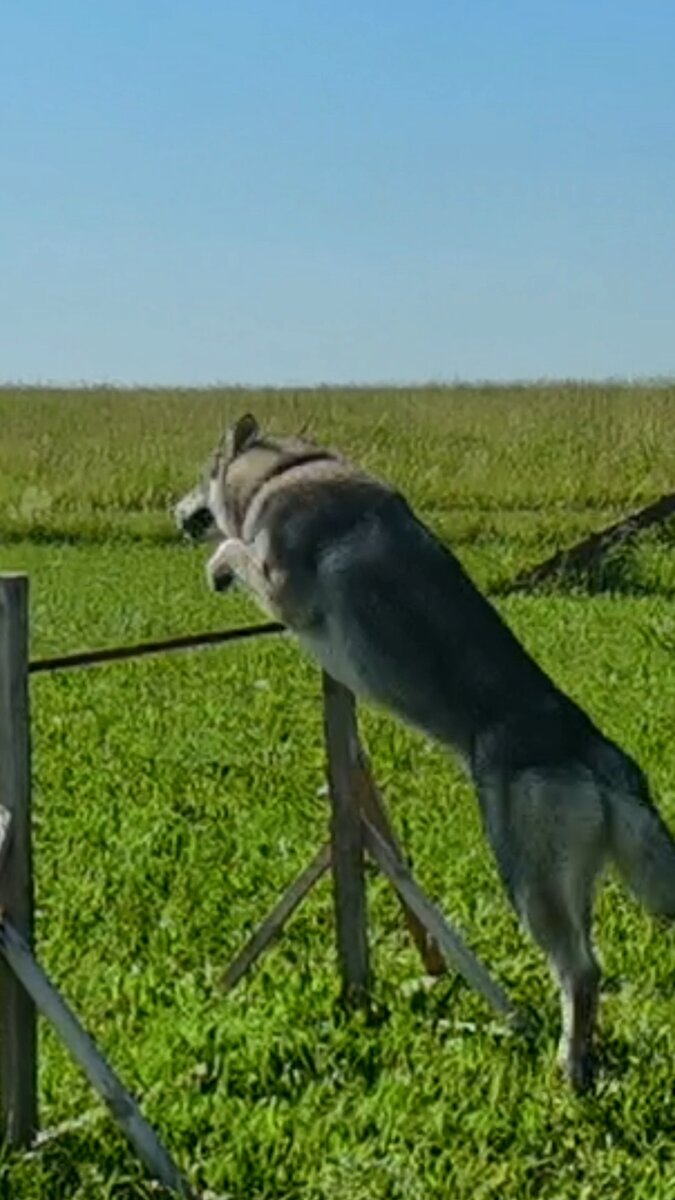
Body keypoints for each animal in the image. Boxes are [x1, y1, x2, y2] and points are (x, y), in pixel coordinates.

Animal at [174, 417, 672, 1094]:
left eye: (201, 475)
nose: (175, 511)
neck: (282, 473)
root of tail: (595, 752)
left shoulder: (280, 585)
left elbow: (229, 549)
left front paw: (217, 569)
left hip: (528, 882)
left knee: (582, 971)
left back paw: (569, 1070)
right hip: (581, 883)